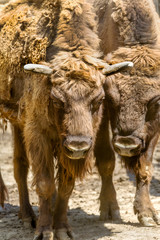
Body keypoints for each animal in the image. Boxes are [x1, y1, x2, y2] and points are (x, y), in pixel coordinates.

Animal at [0, 0, 131, 240]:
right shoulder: (38, 134)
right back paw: (28, 217)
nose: (78, 145)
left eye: (99, 100)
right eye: (57, 100)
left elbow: (65, 186)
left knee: (19, 165)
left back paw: (26, 215)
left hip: (17, 123)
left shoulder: (66, 149)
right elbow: (45, 183)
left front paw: (61, 228)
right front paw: (44, 231)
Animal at [94, 0, 160, 227]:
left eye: (155, 102)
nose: (126, 145)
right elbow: (106, 160)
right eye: (111, 98)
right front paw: (110, 209)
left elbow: (145, 167)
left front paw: (147, 214)